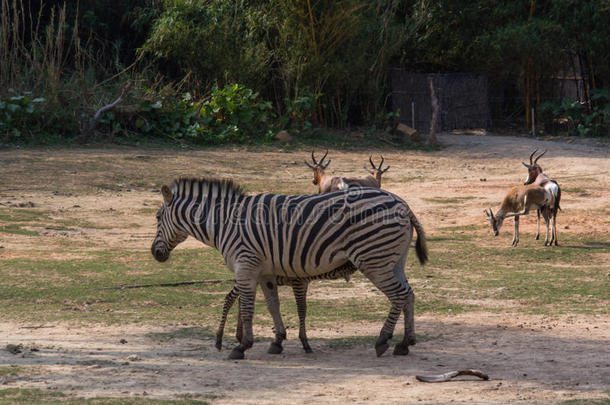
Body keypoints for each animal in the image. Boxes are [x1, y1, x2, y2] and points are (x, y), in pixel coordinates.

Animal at [152, 178, 428, 358]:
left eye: (157, 217)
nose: (155, 253)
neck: (224, 223)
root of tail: (402, 204)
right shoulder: (264, 272)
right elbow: (272, 305)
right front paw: (277, 341)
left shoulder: (246, 266)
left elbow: (247, 309)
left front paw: (242, 346)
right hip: (394, 260)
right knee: (409, 295)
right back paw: (405, 343)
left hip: (374, 260)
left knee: (398, 296)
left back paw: (383, 341)